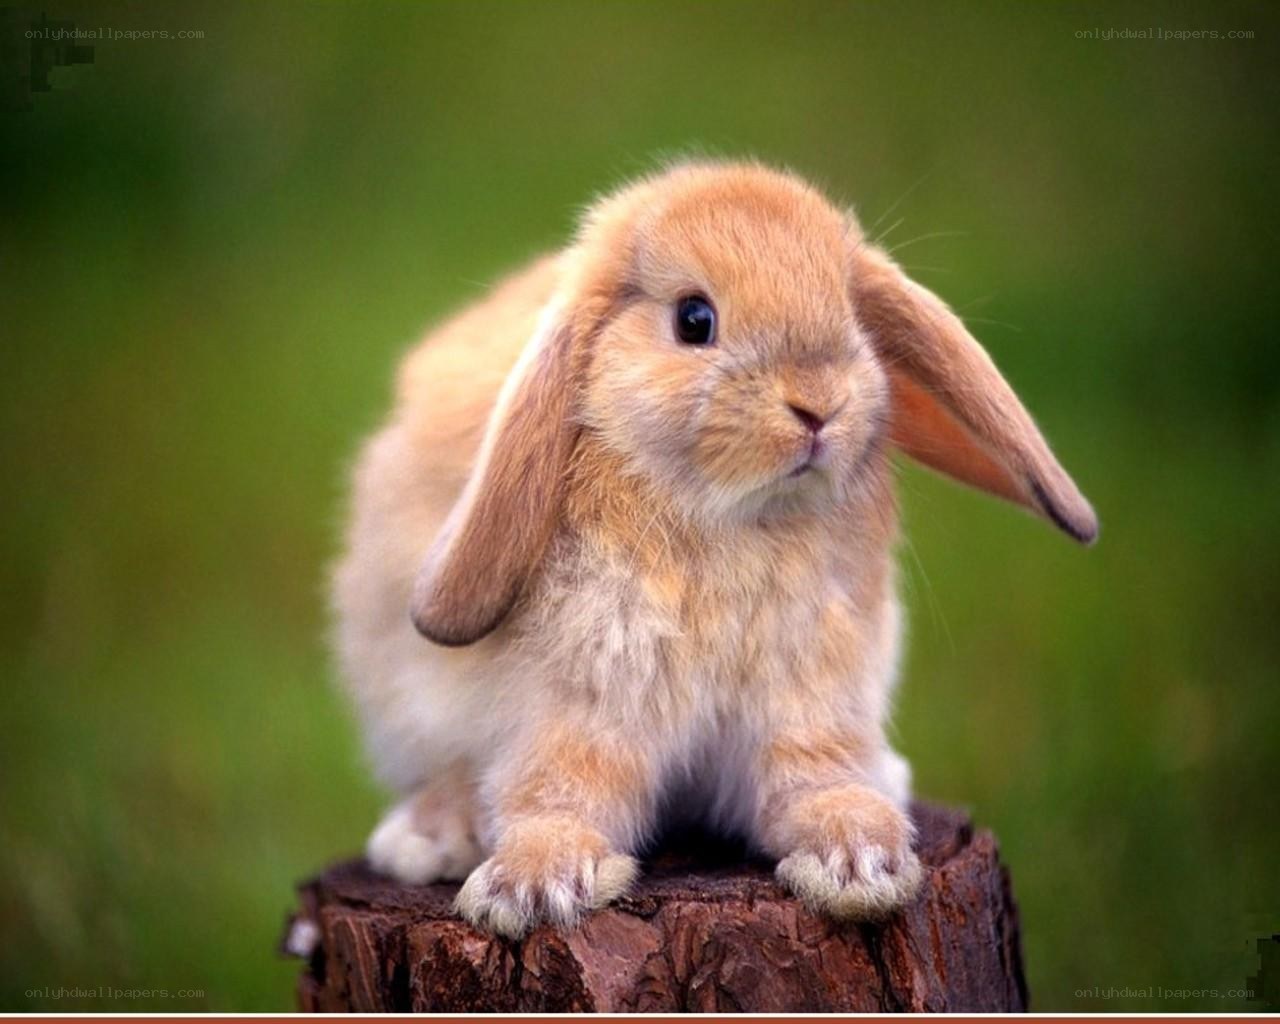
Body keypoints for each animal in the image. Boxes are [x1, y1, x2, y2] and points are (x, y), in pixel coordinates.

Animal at [331, 160, 1097, 939]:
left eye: (851, 314)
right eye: (694, 320)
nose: (819, 404)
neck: (734, 517)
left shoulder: (809, 694)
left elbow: (811, 779)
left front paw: (860, 862)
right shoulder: (583, 700)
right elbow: (561, 789)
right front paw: (530, 888)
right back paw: (427, 839)